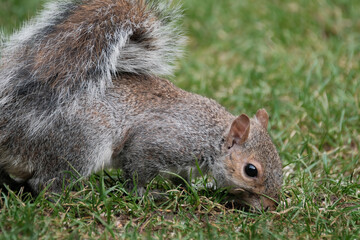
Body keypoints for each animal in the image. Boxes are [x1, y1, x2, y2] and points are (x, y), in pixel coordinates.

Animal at [0, 0, 282, 210]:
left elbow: (183, 179)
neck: (209, 135)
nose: (271, 206)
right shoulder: (157, 143)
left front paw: (196, 188)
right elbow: (137, 173)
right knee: (45, 184)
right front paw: (147, 195)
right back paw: (78, 197)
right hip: (81, 143)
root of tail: (14, 132)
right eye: (251, 170)